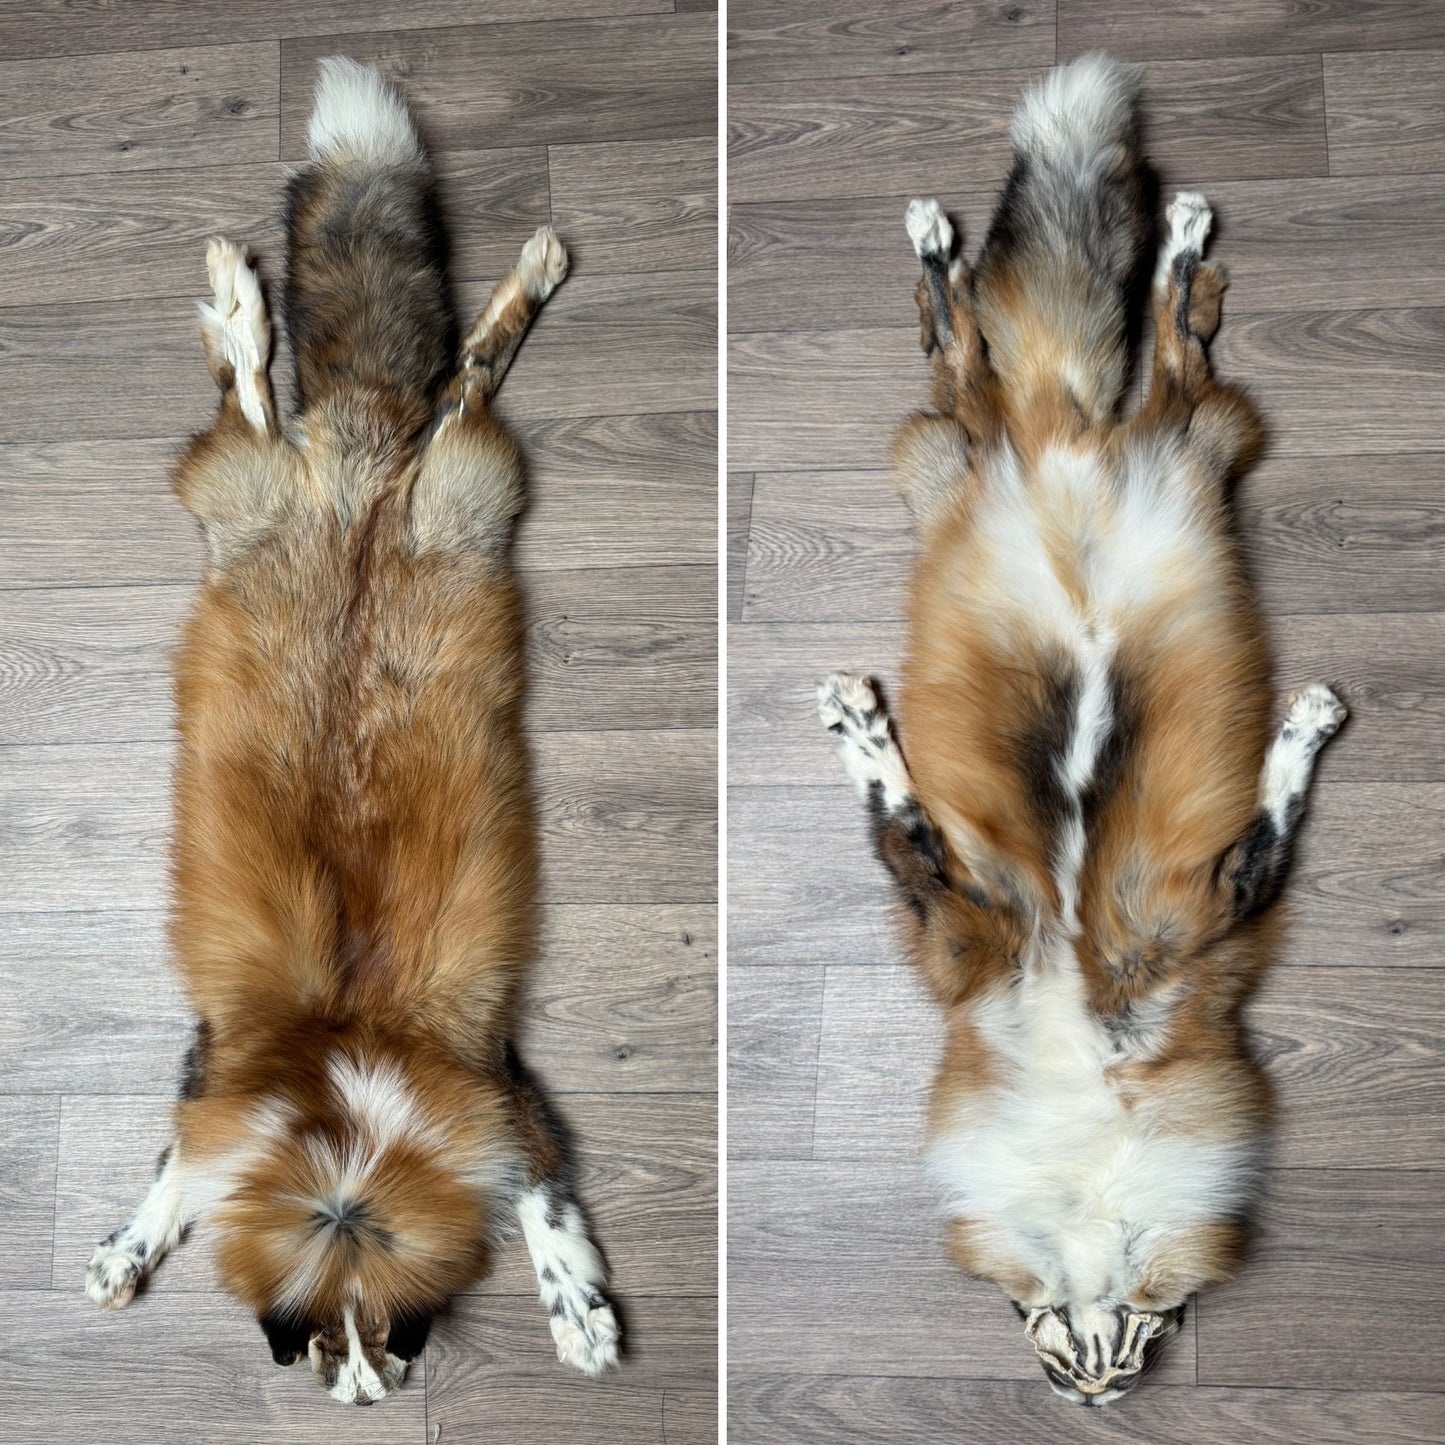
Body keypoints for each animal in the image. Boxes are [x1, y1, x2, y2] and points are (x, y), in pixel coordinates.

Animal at [818, 53, 1345, 1405]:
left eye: (1141, 1338)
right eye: (1054, 1348)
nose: (1097, 1385)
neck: (1079, 1054)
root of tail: (1070, 440)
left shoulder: (1193, 927)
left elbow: (1273, 806)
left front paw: (1304, 722)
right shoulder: (971, 931)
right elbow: (896, 817)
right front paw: (858, 721)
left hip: (1179, 439)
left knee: (1152, 339)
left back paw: (1170, 237)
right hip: (977, 447)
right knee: (970, 347)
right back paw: (939, 238)